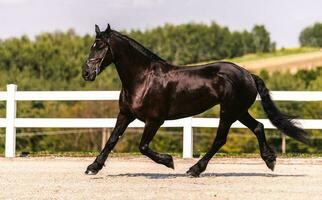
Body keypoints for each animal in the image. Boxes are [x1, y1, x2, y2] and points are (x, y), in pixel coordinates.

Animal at [83, 23, 310, 177]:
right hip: (239, 111)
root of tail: (248, 75)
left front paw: (169, 161)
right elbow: (112, 140)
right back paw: (270, 160)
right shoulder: (125, 114)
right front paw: (93, 167)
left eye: (101, 46)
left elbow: (143, 147)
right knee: (258, 127)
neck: (143, 78)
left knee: (220, 139)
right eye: (92, 46)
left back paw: (195, 169)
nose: (86, 73)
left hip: (228, 111)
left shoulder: (154, 120)